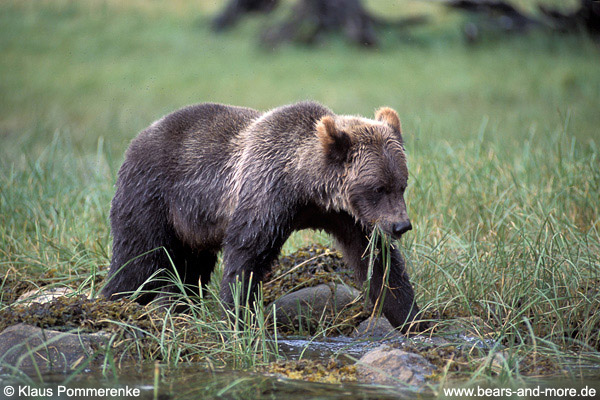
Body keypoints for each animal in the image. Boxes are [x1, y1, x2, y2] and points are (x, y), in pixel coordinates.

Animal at [102, 102, 422, 332]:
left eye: (401, 185)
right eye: (378, 188)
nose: (401, 225)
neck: (306, 187)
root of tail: (138, 138)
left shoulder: (347, 216)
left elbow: (378, 262)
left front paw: (413, 319)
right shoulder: (265, 194)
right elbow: (246, 256)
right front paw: (236, 318)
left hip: (193, 227)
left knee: (190, 271)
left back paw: (180, 308)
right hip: (152, 196)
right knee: (139, 259)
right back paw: (112, 303)